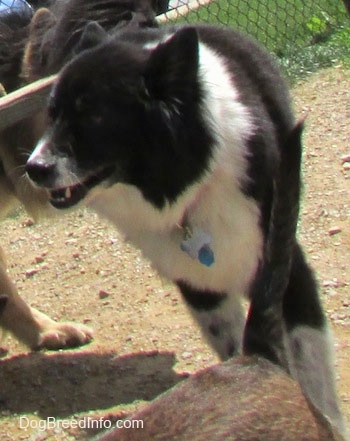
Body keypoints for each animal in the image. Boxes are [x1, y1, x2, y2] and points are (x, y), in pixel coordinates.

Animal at [26, 19, 346, 434]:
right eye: (51, 114)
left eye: (94, 115)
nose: (33, 168)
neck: (192, 185)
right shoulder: (199, 285)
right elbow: (233, 346)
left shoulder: (287, 265)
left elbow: (312, 370)